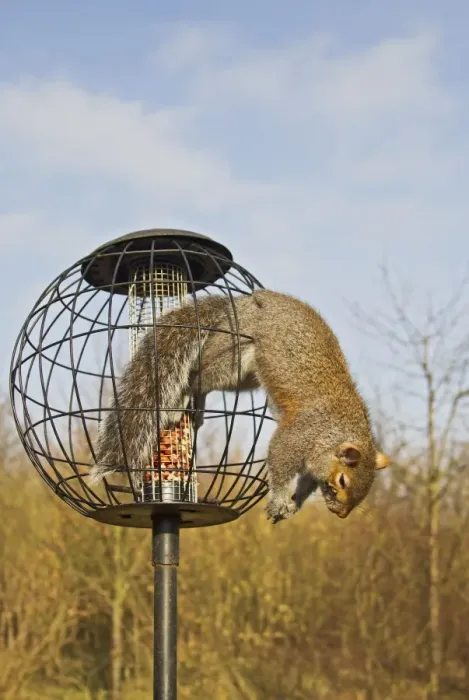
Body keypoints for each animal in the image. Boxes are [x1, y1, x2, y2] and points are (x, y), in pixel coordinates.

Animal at [89, 290, 389, 522]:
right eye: (343, 481)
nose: (341, 514)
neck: (336, 428)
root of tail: (240, 304)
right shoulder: (300, 434)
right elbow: (280, 458)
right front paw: (279, 500)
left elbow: (306, 481)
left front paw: (294, 504)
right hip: (233, 354)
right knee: (195, 376)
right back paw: (181, 401)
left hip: (242, 378)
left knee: (202, 384)